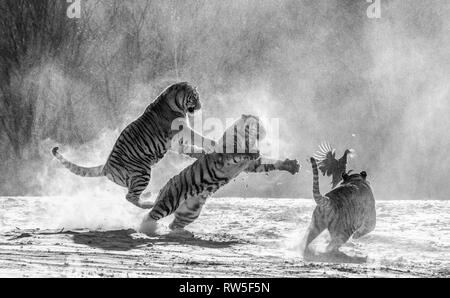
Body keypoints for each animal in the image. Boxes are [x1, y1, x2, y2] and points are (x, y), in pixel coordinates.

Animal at [52, 81, 214, 207]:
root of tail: (105, 167)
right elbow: (197, 137)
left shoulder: (174, 142)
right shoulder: (182, 129)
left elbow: (189, 149)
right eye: (195, 97)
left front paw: (202, 153)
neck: (175, 103)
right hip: (142, 172)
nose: (200, 106)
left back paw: (148, 196)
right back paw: (150, 203)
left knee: (132, 194)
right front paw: (212, 142)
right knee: (130, 197)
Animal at [139, 114, 300, 235]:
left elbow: (270, 163)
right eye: (257, 122)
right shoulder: (225, 157)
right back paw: (147, 228)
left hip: (190, 212)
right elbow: (238, 153)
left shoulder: (251, 165)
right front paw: (252, 151)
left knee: (173, 224)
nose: (265, 130)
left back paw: (182, 233)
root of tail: (163, 188)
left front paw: (292, 165)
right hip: (169, 202)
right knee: (149, 216)